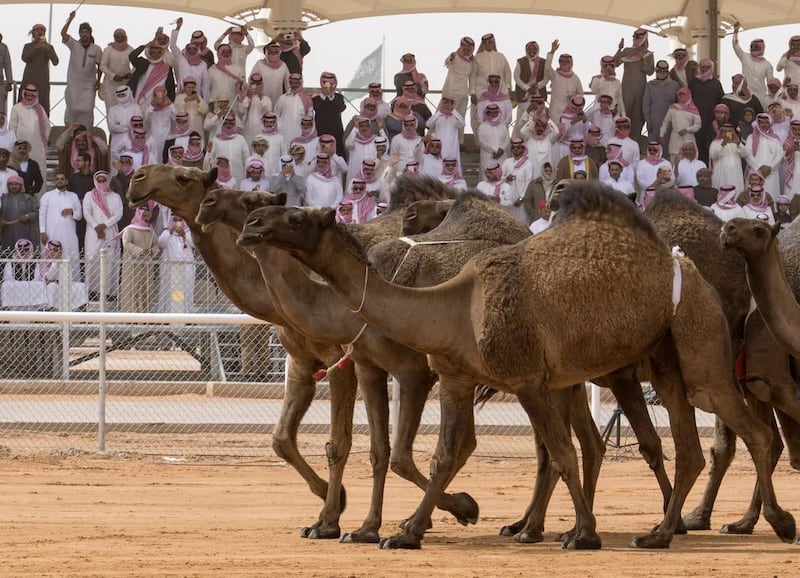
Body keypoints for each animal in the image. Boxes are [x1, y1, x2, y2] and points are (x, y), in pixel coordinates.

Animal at [241, 181, 796, 548]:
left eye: (297, 217)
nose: (252, 225)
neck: (454, 305)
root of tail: (688, 268)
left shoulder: (528, 379)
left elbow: (559, 453)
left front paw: (583, 534)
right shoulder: (459, 378)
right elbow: (446, 454)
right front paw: (409, 530)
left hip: (701, 351)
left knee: (752, 433)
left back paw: (769, 523)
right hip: (664, 362)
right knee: (691, 448)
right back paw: (660, 531)